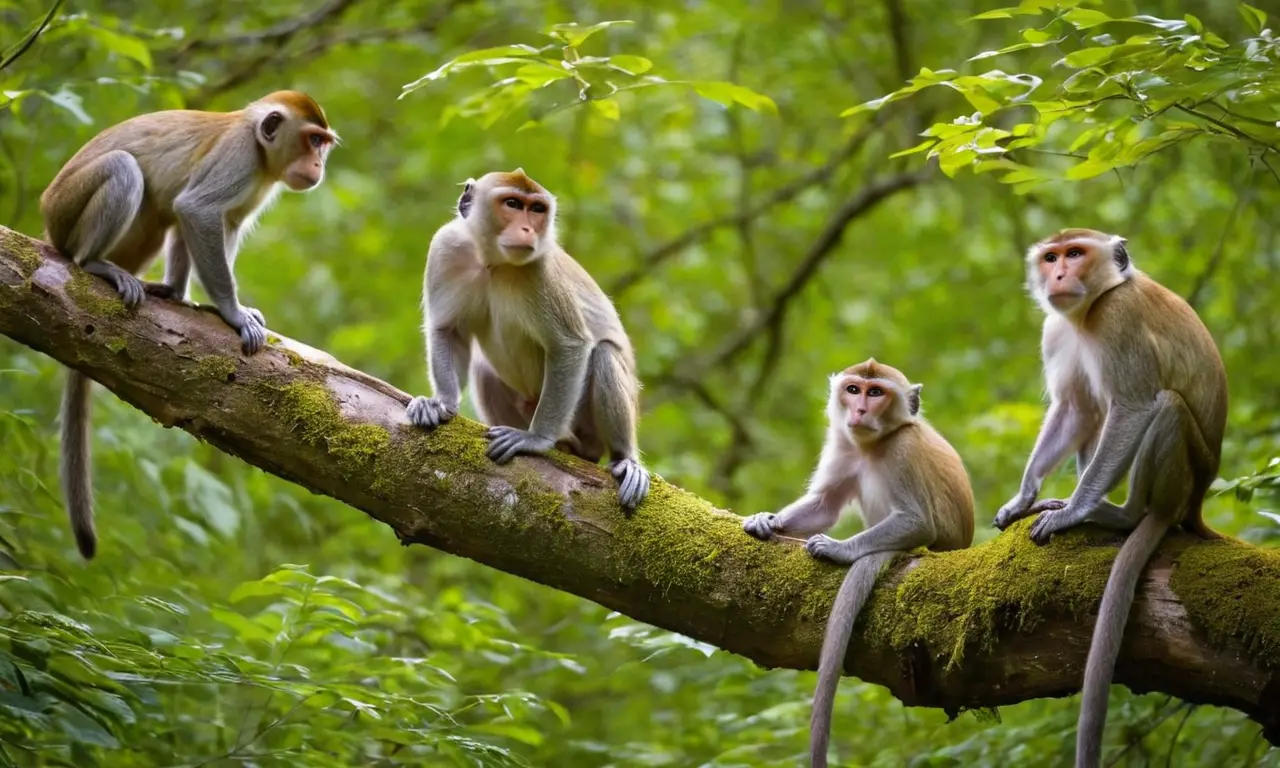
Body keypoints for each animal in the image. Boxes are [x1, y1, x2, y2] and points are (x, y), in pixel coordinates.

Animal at [40, 90, 338, 559]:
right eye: (312, 140)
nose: (318, 165)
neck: (260, 147)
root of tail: (48, 224)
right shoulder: (239, 158)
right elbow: (196, 210)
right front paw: (233, 313)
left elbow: (212, 220)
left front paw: (203, 302)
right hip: (66, 212)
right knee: (124, 171)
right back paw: (94, 264)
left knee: (163, 214)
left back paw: (167, 289)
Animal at [406, 169, 651, 510]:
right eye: (512, 204)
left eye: (537, 209)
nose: (527, 229)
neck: (493, 261)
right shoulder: (446, 246)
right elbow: (448, 329)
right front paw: (440, 402)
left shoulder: (540, 269)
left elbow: (570, 345)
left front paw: (536, 439)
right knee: (484, 370)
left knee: (603, 354)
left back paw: (621, 458)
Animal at [742, 359, 974, 768]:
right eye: (854, 390)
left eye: (876, 392)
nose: (860, 410)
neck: (873, 445)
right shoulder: (842, 444)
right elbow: (824, 506)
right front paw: (766, 520)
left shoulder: (902, 449)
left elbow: (917, 520)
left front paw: (840, 549)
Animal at [992, 229, 1227, 768]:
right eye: (1052, 257)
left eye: (1076, 254)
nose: (1059, 274)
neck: (1088, 312)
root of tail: (1196, 502)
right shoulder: (1055, 331)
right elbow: (1075, 408)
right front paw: (1026, 496)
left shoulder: (1117, 319)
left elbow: (1134, 405)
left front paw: (1074, 512)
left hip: (1184, 474)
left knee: (1164, 405)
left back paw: (1121, 515)